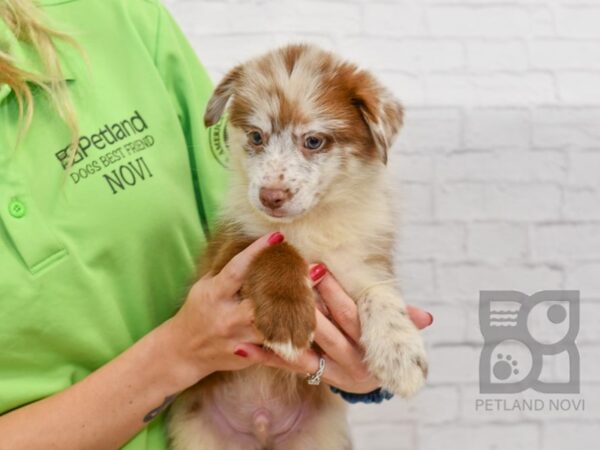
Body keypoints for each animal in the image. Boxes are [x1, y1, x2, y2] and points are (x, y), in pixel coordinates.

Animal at [168, 43, 426, 450]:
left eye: (314, 141)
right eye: (256, 137)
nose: (270, 197)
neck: (311, 225)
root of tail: (260, 427)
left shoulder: (361, 261)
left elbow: (380, 294)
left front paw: (400, 354)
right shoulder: (222, 256)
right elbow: (273, 246)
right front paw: (287, 320)